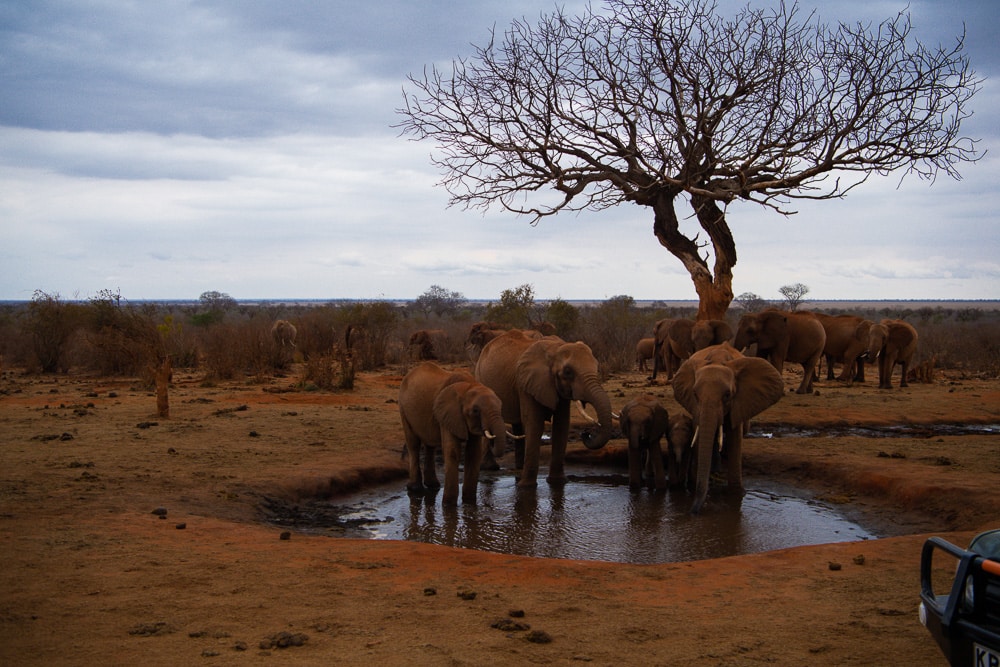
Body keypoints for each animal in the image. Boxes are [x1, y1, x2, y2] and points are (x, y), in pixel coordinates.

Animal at [472, 332, 612, 488]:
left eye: (596, 367)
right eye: (568, 372)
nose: (586, 433)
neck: (556, 349)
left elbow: (562, 425)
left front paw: (558, 482)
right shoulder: (526, 384)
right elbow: (534, 424)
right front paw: (526, 486)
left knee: (518, 424)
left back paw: (519, 467)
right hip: (481, 379)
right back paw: (490, 467)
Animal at [672, 342, 788, 516]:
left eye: (727, 395)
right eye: (695, 394)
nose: (692, 511)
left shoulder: (741, 401)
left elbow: (735, 438)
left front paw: (736, 494)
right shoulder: (695, 408)